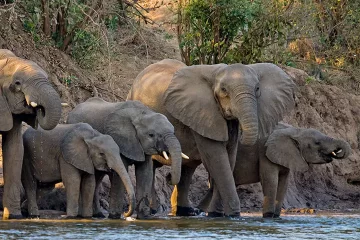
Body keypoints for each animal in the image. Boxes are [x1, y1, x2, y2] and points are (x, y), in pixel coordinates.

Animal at [126, 58, 296, 218]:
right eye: (224, 90)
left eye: (258, 89)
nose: (168, 177)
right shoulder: (202, 113)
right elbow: (217, 156)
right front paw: (232, 215)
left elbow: (229, 155)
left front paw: (217, 214)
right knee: (154, 165)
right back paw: (154, 210)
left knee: (188, 168)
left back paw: (186, 211)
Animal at [186, 123, 352, 218]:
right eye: (317, 143)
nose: (337, 152)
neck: (295, 130)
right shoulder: (265, 153)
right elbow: (271, 180)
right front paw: (268, 216)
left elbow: (284, 183)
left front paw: (276, 217)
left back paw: (199, 212)